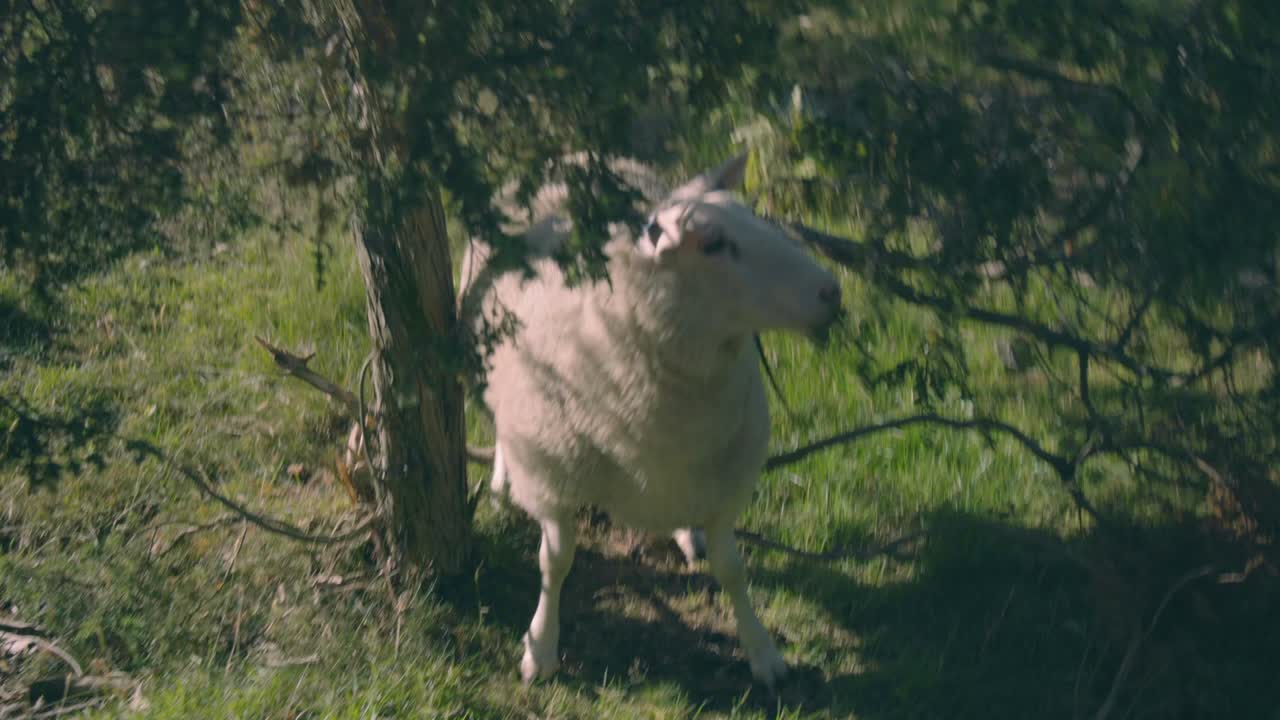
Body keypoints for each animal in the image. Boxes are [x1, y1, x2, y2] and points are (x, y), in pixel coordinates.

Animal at [461, 155, 842, 688]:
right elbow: (554, 564)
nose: (833, 292)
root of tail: (574, 155)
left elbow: (732, 569)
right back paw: (499, 484)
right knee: (499, 427)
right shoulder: (553, 479)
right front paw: (541, 648)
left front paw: (763, 652)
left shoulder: (723, 481)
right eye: (714, 243)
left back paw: (685, 533)